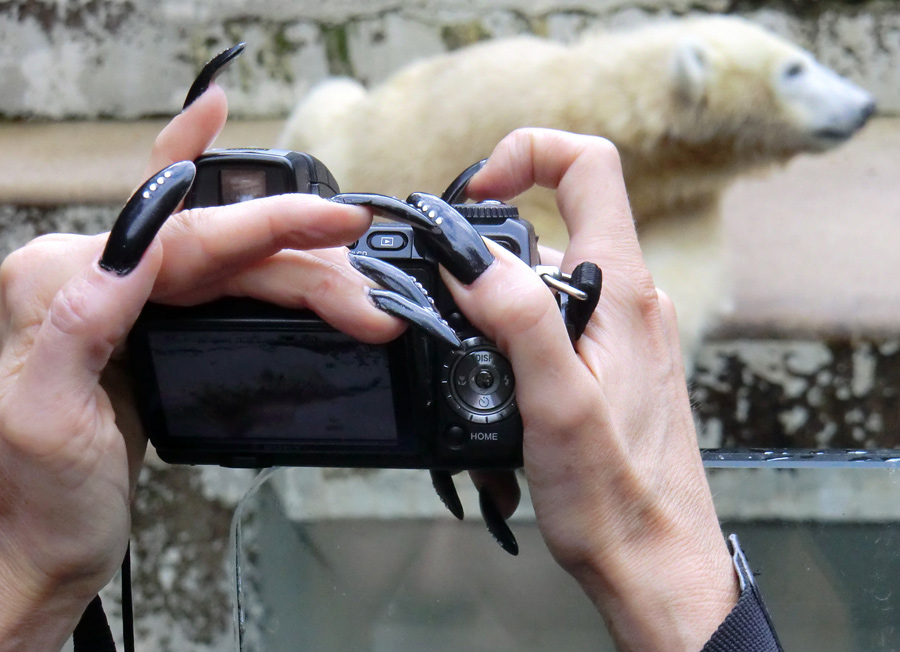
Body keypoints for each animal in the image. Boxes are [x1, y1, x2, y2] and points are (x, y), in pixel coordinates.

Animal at [282, 15, 872, 362]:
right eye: (795, 69)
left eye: (805, 57)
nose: (865, 106)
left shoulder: (678, 193)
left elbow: (684, 264)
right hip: (340, 118)